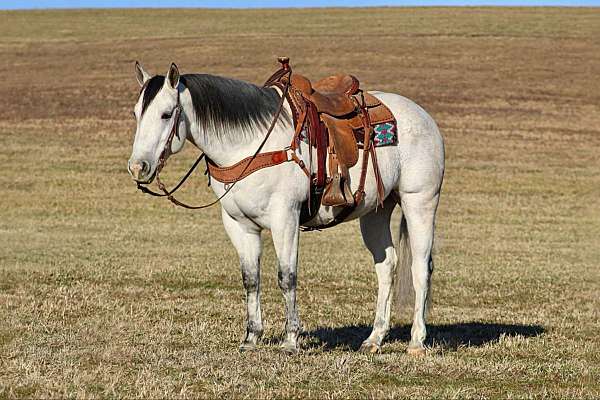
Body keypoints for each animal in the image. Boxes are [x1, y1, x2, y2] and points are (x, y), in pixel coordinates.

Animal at [127, 61, 446, 354]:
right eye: (136, 113)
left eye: (166, 113)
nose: (138, 167)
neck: (248, 144)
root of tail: (423, 116)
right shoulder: (238, 224)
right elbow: (250, 279)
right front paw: (251, 338)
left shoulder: (286, 219)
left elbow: (287, 276)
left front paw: (291, 340)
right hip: (375, 212)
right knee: (387, 266)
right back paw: (374, 338)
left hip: (420, 201)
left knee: (420, 268)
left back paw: (416, 341)